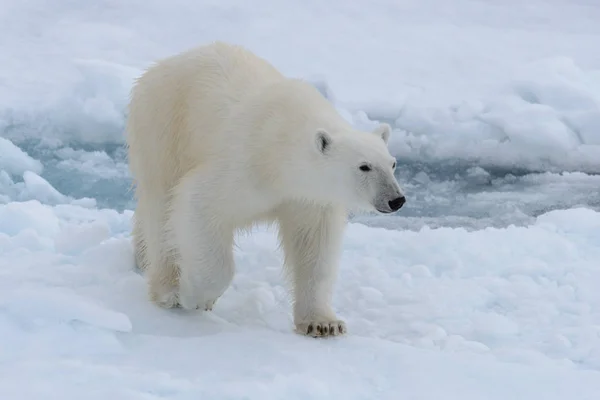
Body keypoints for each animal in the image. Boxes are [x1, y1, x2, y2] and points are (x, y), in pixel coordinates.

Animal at [128, 41, 406, 338]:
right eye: (364, 167)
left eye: (392, 163)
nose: (396, 199)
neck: (281, 152)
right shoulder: (244, 165)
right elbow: (197, 203)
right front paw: (195, 296)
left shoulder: (309, 198)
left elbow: (315, 247)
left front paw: (323, 323)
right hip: (163, 127)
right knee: (162, 206)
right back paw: (167, 289)